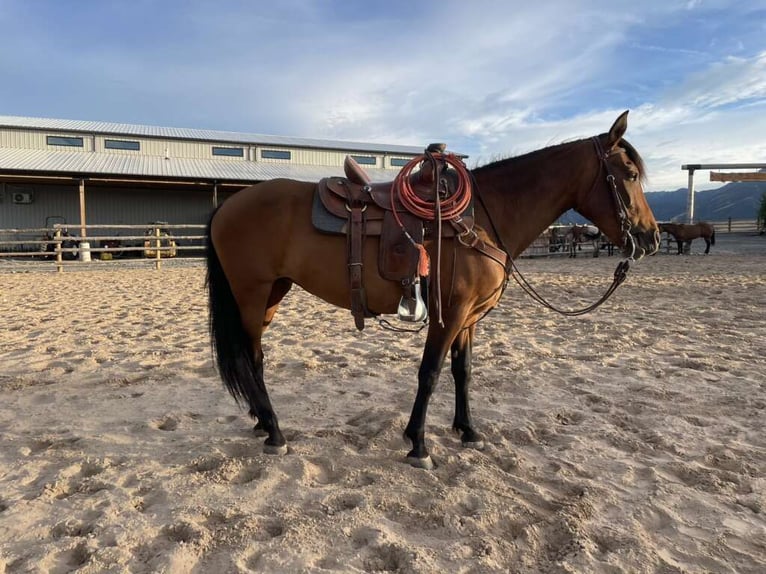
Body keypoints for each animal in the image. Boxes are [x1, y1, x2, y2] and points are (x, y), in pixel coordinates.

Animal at [207, 111, 664, 472]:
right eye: (629, 175)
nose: (651, 237)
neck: (481, 218)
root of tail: (229, 204)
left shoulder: (470, 317)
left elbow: (463, 371)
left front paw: (468, 430)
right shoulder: (451, 313)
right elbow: (430, 373)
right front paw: (419, 445)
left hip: (273, 294)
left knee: (253, 360)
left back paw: (261, 422)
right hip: (252, 294)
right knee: (251, 359)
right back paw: (275, 433)